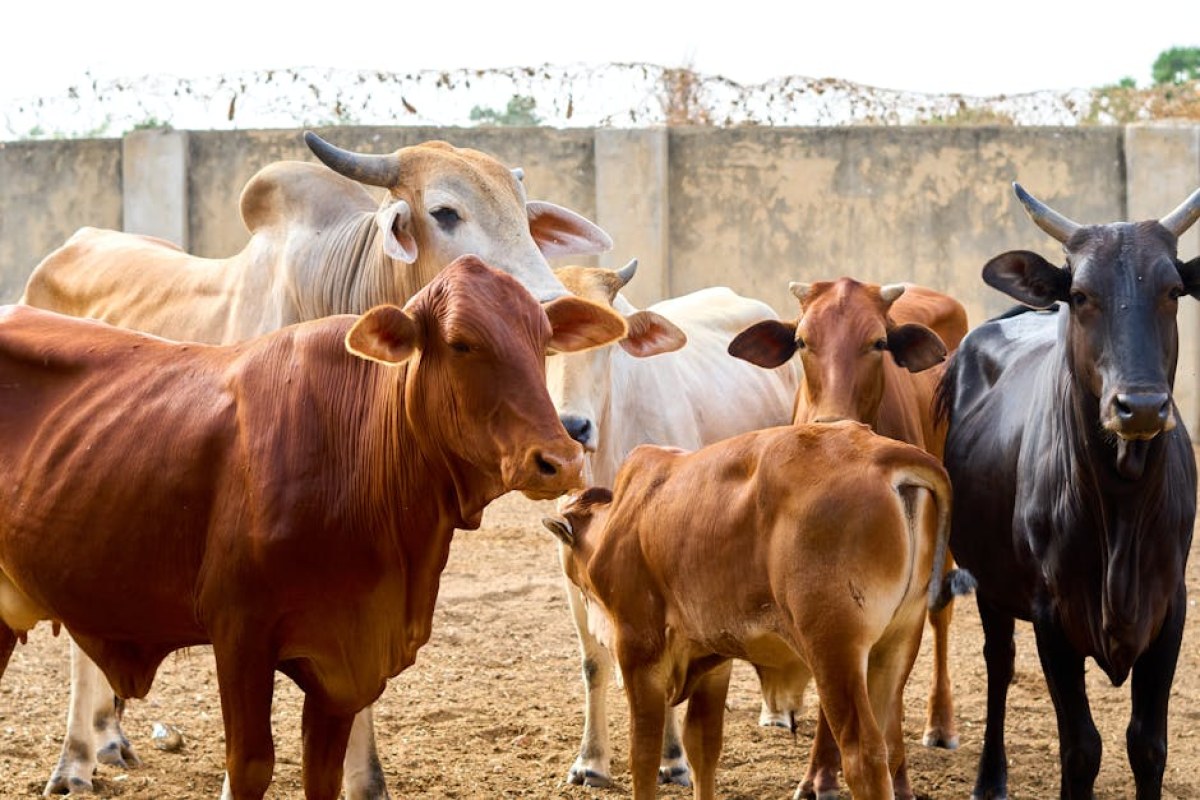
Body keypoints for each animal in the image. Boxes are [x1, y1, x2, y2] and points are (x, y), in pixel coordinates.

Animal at [18, 131, 614, 798]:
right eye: (445, 212)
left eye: (525, 214)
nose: (550, 306)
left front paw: (366, 778)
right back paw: (74, 760)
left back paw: (110, 735)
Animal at [542, 420, 973, 800]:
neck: (627, 516)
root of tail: (881, 456)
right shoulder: (713, 661)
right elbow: (703, 748)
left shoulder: (639, 655)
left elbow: (643, 757)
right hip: (897, 644)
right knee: (891, 744)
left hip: (834, 651)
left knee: (863, 755)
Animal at [544, 260, 799, 787]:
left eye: (609, 342)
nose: (572, 428)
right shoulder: (570, 559)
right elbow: (593, 663)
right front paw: (590, 761)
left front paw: (673, 758)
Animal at [727, 277, 968, 798]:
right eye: (802, 341)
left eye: (877, 343)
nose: (831, 424)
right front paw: (819, 773)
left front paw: (897, 775)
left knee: (940, 616)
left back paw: (940, 723)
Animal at [935, 182, 1200, 800]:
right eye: (1081, 294)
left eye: (1174, 290)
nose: (1141, 406)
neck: (1122, 501)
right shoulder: (1051, 614)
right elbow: (1081, 749)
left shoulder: (1169, 607)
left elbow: (1148, 745)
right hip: (989, 581)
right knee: (1000, 662)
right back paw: (991, 777)